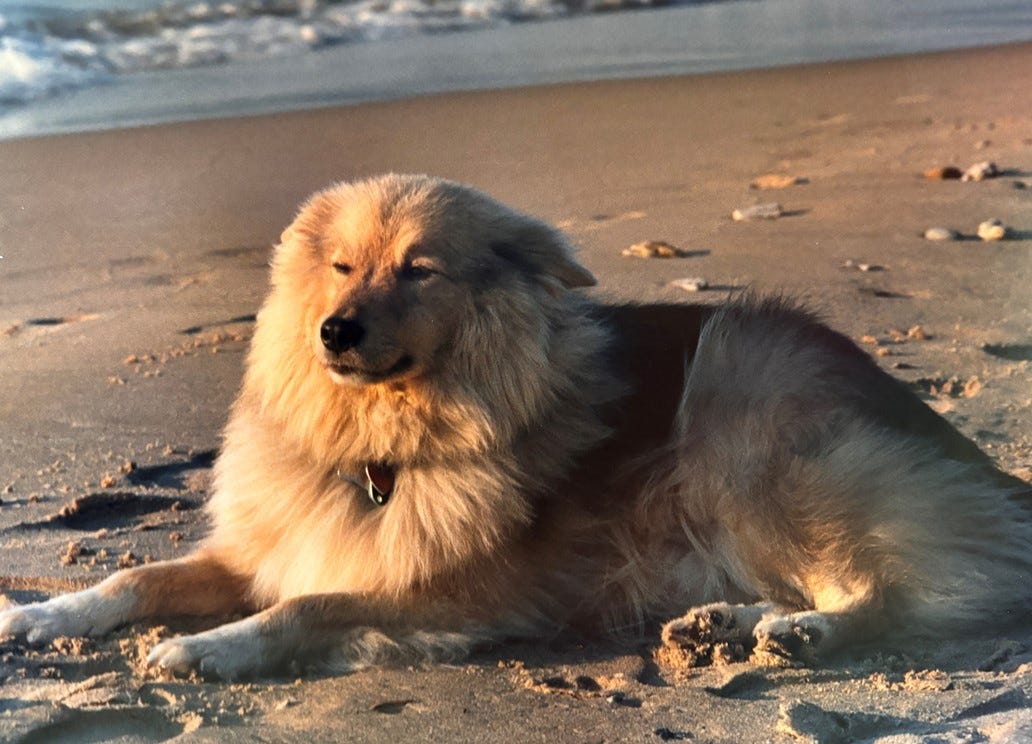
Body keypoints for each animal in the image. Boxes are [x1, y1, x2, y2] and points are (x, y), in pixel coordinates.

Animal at [2, 175, 1032, 681]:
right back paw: (732, 621)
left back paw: (804, 634)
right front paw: (45, 614)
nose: (335, 331)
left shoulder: (455, 594)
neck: (385, 444)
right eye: (341, 266)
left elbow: (308, 607)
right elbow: (134, 577)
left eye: (419, 270)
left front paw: (209, 648)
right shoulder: (269, 546)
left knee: (896, 588)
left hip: (747, 445)